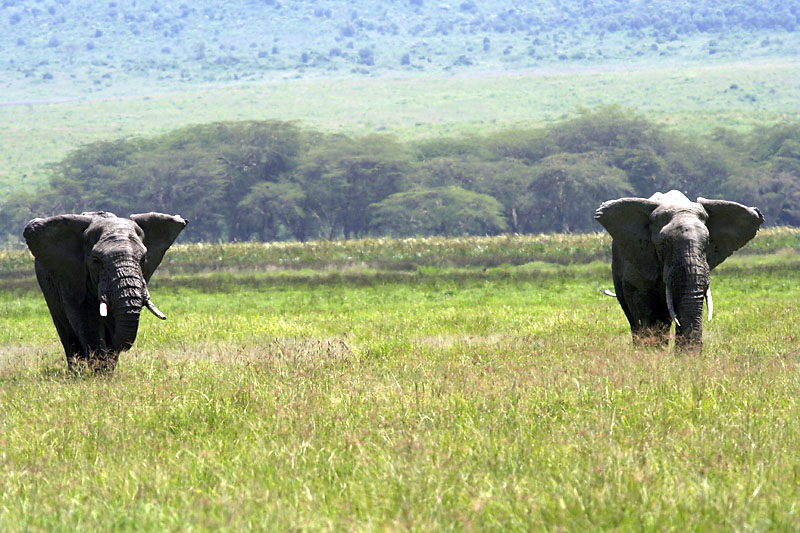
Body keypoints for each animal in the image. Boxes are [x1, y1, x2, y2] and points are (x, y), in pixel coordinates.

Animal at [23, 211, 188, 370]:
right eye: (96, 261)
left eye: (143, 259)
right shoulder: (73, 278)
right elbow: (87, 322)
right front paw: (99, 373)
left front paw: (106, 369)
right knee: (67, 333)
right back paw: (77, 372)